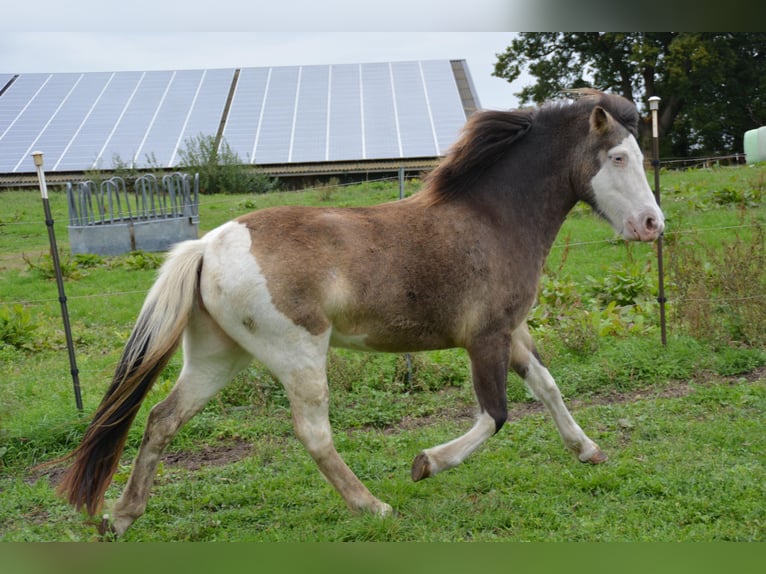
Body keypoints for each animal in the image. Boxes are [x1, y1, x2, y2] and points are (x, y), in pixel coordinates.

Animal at [56, 90, 664, 537]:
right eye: (617, 157)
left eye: (638, 156)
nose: (653, 225)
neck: (493, 220)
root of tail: (206, 245)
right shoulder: (485, 337)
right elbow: (494, 415)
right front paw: (426, 464)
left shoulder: (513, 331)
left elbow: (547, 386)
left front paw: (589, 450)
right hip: (298, 355)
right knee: (313, 433)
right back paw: (373, 507)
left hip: (216, 359)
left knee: (162, 420)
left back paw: (122, 517)